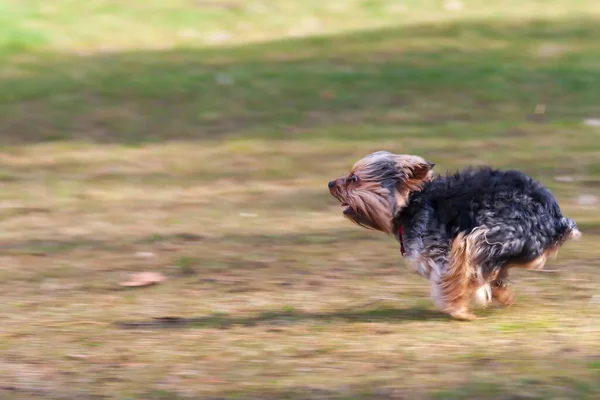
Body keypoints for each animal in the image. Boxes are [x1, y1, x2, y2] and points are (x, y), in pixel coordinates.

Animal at [328, 152, 580, 320]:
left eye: (353, 179)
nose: (330, 183)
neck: (411, 202)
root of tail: (556, 220)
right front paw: (500, 294)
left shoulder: (440, 248)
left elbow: (452, 275)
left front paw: (458, 305)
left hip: (486, 234)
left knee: (467, 265)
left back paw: (460, 308)